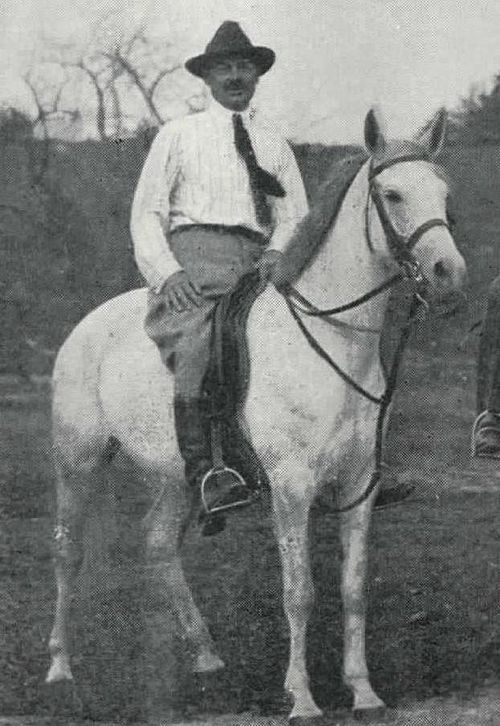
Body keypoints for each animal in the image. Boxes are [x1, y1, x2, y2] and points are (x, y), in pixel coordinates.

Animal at [46, 111, 464, 724]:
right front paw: (303, 697)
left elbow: (354, 587)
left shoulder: (359, 483)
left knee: (158, 542)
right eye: (392, 194)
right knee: (68, 550)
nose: (448, 271)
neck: (335, 342)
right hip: (79, 462)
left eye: (443, 192)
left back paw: (204, 655)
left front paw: (363, 691)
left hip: (180, 474)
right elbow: (300, 592)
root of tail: (87, 326)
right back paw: (60, 668)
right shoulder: (292, 486)